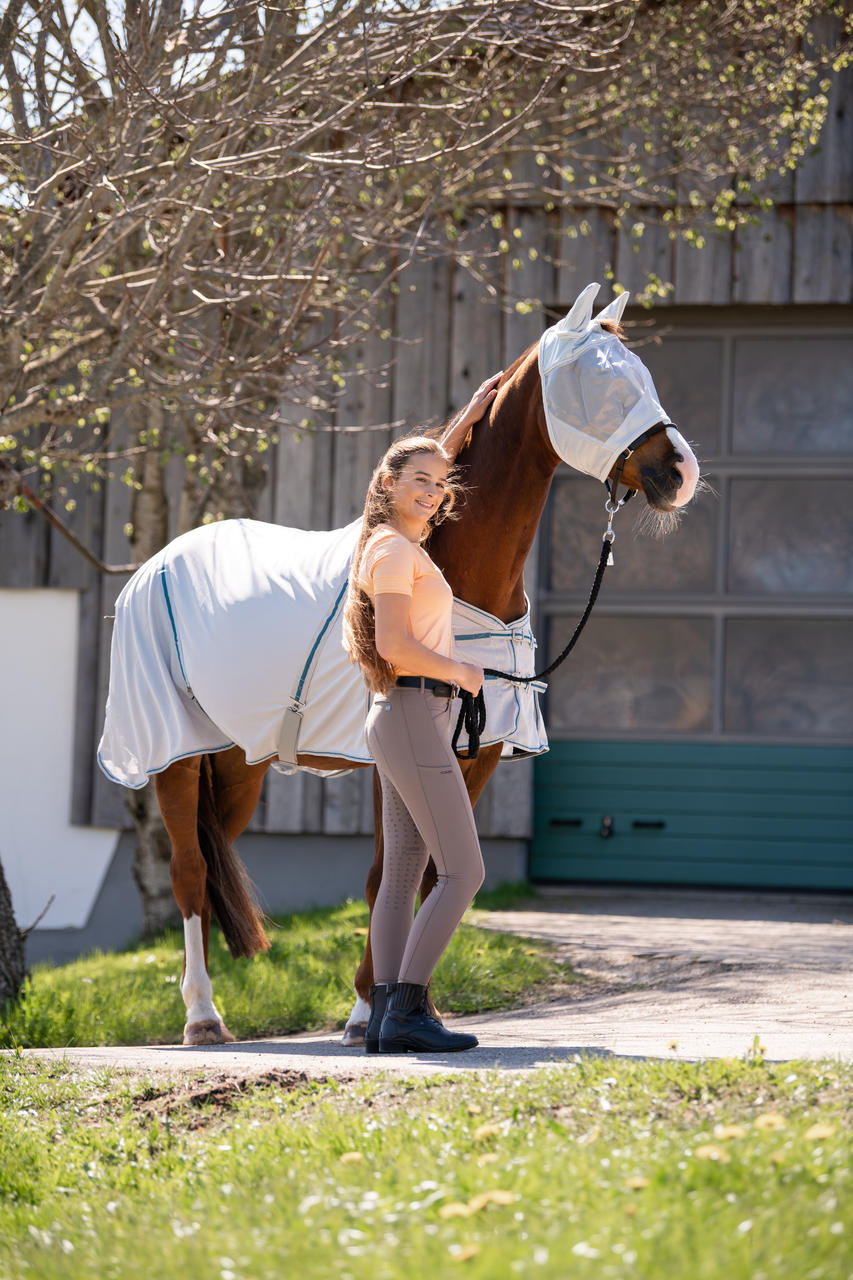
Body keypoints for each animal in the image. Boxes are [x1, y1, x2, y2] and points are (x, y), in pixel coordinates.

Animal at [99, 277, 696, 1039]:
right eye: (596, 381)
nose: (679, 472)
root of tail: (156, 566)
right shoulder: (394, 758)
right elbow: (391, 874)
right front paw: (368, 1012)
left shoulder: (480, 750)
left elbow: (437, 873)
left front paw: (405, 1006)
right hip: (173, 756)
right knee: (188, 873)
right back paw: (203, 1017)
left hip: (233, 763)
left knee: (210, 855)